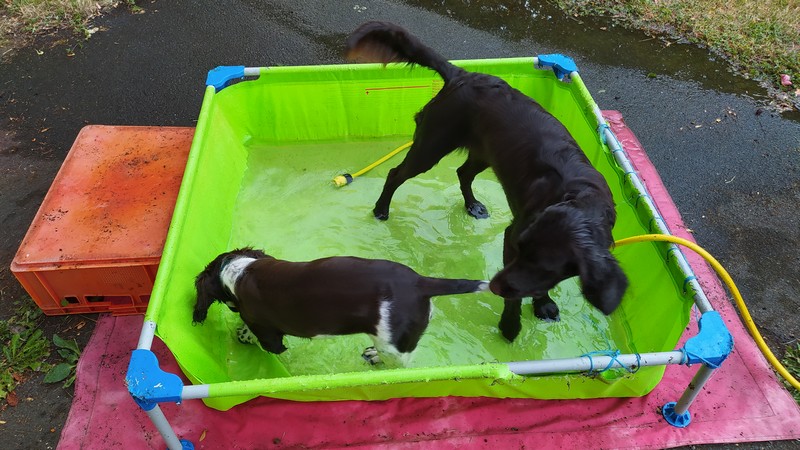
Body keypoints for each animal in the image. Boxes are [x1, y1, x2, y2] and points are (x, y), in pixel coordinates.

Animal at [192, 247, 489, 365]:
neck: (237, 272)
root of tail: (420, 282)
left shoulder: (268, 334)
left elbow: (261, 338)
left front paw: (243, 334)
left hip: (393, 343)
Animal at [346, 21, 628, 342]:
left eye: (543, 265)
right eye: (520, 247)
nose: (493, 286)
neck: (581, 199)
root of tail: (462, 74)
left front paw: (542, 304)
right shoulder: (512, 236)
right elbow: (516, 296)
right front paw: (510, 326)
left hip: (485, 152)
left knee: (463, 173)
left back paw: (472, 206)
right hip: (431, 145)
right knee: (396, 174)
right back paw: (381, 210)